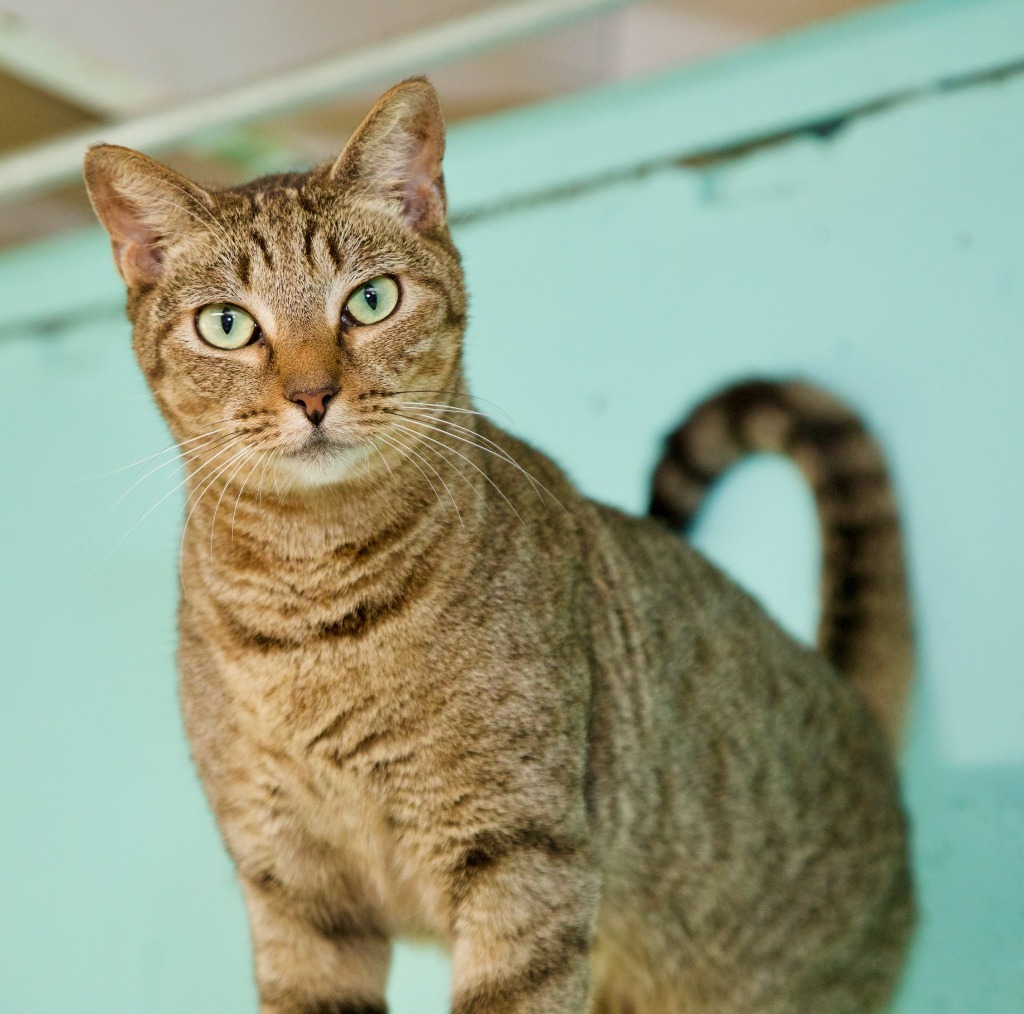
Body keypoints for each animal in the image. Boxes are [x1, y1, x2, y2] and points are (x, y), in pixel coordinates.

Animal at [79, 75, 913, 1011]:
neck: (314, 607)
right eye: (227, 325)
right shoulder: (293, 886)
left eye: (370, 300)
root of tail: (850, 701)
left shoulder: (519, 850)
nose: (313, 396)